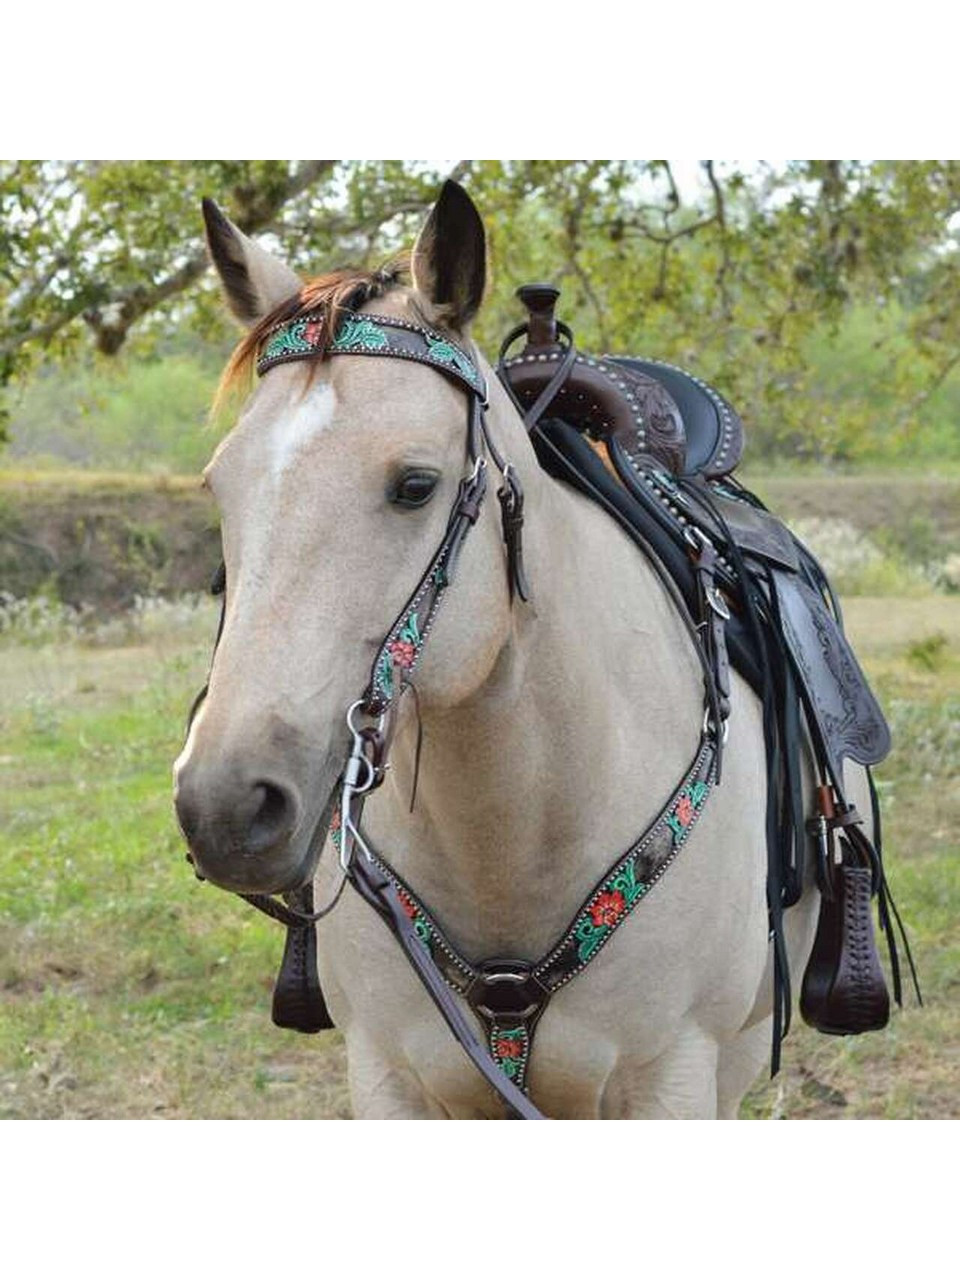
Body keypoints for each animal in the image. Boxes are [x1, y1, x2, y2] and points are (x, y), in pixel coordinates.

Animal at [172, 180, 911, 1121]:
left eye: (416, 486)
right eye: (219, 487)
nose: (226, 807)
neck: (515, 829)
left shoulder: (674, 1079)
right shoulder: (389, 1077)